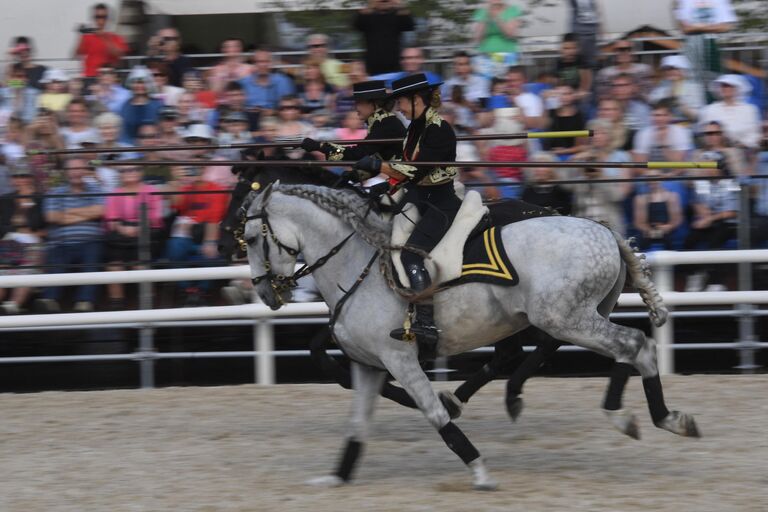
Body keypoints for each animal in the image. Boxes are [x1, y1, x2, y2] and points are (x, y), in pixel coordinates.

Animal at [242, 182, 704, 490]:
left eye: (248, 238)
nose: (265, 293)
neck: (358, 259)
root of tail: (603, 230)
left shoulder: (399, 359)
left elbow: (434, 414)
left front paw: (479, 469)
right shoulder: (367, 364)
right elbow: (357, 424)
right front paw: (337, 476)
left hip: (565, 318)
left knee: (633, 344)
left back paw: (643, 416)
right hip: (570, 316)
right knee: (616, 348)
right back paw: (649, 417)